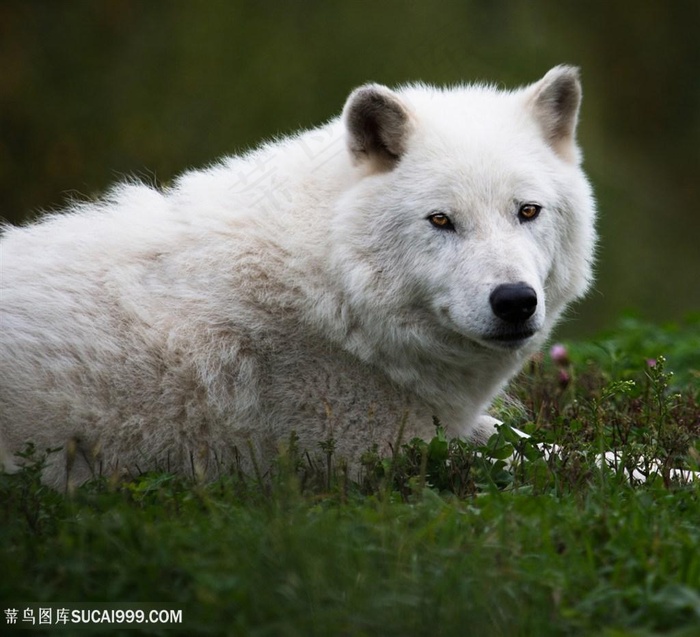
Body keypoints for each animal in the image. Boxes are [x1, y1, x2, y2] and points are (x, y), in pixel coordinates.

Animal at [0, 66, 596, 486]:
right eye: (441, 220)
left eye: (527, 211)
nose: (515, 301)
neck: (333, 285)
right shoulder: (382, 452)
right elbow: (537, 461)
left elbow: (559, 448)